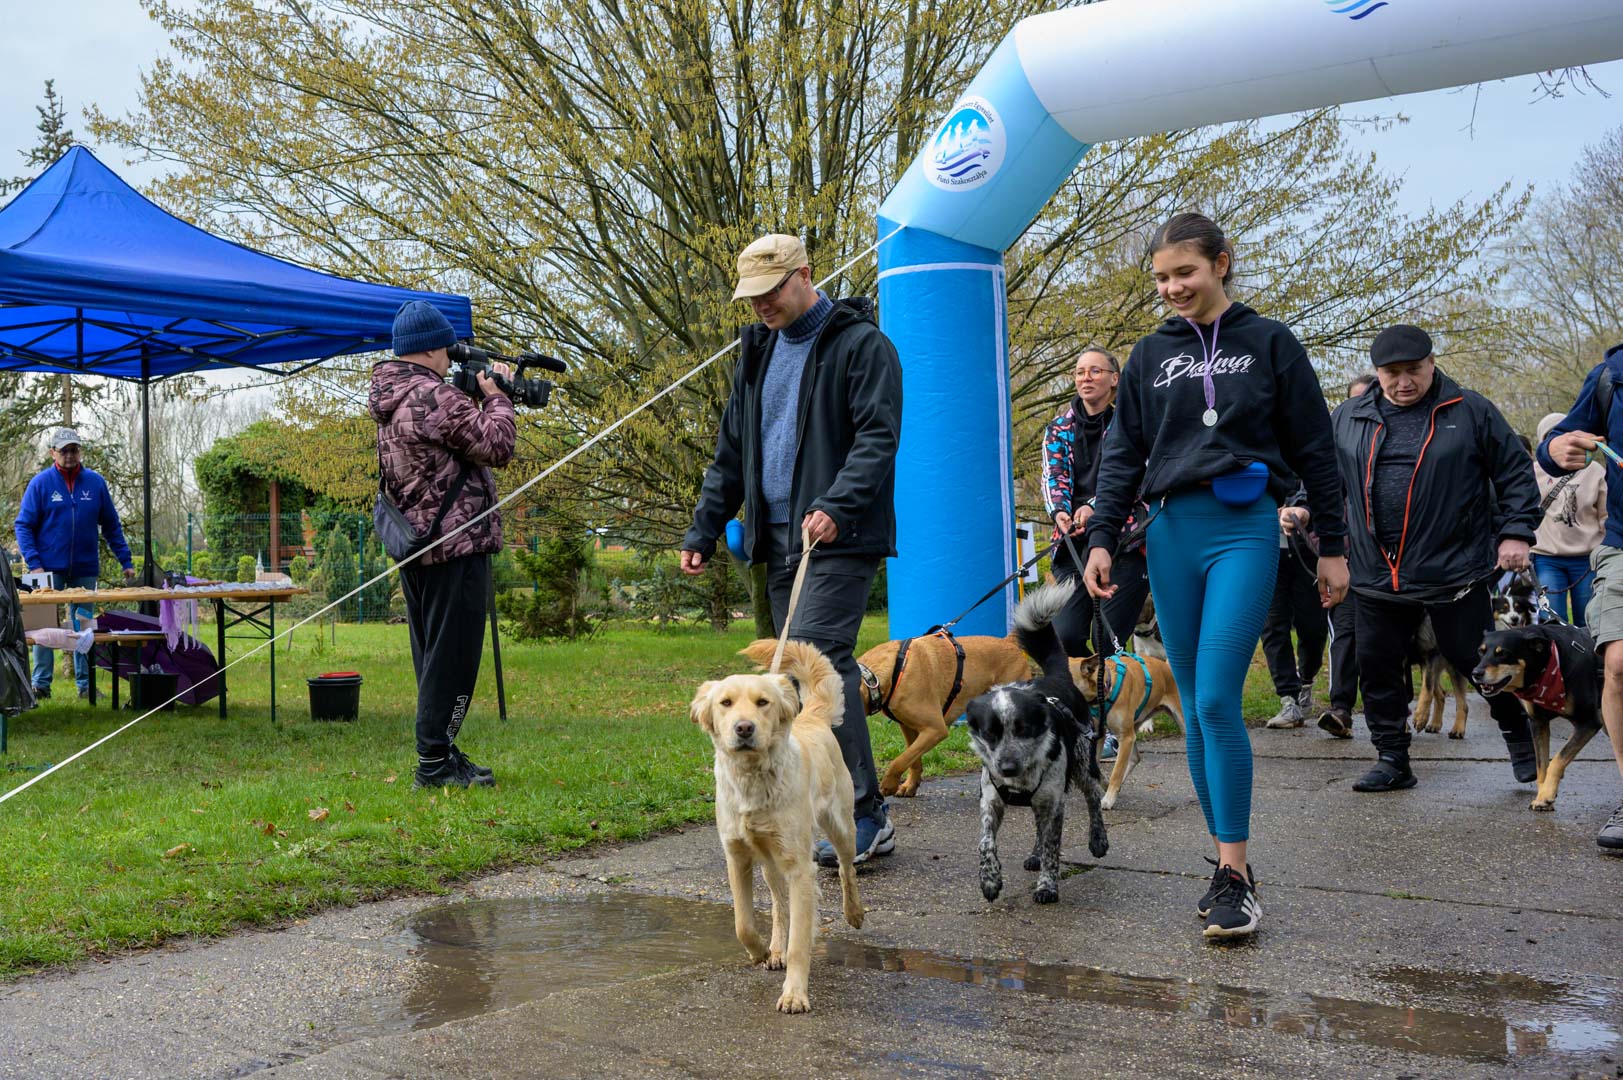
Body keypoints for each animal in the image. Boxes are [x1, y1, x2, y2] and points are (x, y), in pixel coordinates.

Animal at [692, 639, 865, 1013]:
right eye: (725, 703)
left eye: (763, 702)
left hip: (841, 826)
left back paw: (854, 912)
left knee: (846, 868)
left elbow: (800, 942)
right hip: (769, 862)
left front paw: (795, 994)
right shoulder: (737, 857)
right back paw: (774, 949)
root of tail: (810, 716)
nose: (744, 728)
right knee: (779, 904)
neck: (753, 780)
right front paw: (760, 951)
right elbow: (743, 923)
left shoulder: (799, 867)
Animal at [855, 632, 1032, 798]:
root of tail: (1008, 641)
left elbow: (899, 761)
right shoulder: (908, 728)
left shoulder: (935, 729)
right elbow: (912, 759)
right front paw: (910, 785)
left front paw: (888, 784)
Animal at [964, 581, 1109, 905]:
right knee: (1039, 829)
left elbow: (1052, 848)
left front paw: (1047, 887)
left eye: (1024, 729)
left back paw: (1098, 839)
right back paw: (1032, 855)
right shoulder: (991, 800)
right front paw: (989, 880)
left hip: (1083, 764)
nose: (1006, 767)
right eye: (990, 733)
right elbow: (985, 843)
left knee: (1093, 796)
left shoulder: (1054, 801)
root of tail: (1057, 677)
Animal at [1069, 650, 1184, 810]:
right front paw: (1102, 785)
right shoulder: (1098, 735)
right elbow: (1094, 766)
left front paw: (1109, 798)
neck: (1104, 688)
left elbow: (1116, 772)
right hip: (1134, 727)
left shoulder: (1125, 737)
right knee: (1135, 758)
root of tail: (1167, 667)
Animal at [1471, 623, 1605, 811]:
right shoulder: (1538, 723)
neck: (1551, 663)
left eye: (1503, 653)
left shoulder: (1589, 722)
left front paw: (1546, 795)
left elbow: (1558, 759)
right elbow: (1541, 766)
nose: (1476, 673)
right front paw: (1543, 795)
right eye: (1480, 651)